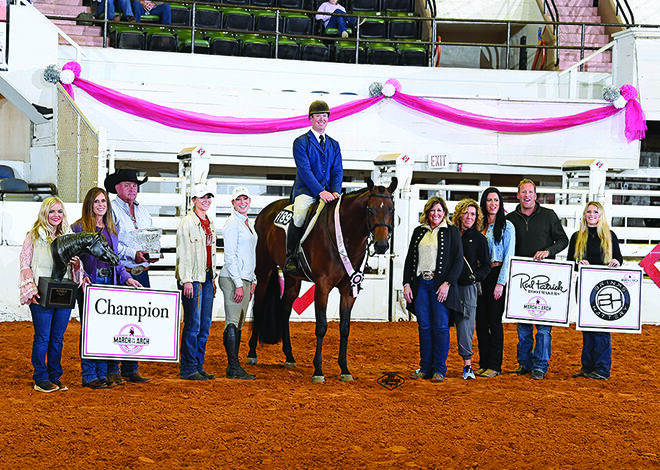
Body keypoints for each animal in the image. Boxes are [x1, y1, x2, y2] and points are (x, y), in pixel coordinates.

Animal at [245, 176, 394, 382]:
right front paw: (318, 371)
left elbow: (345, 328)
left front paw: (344, 369)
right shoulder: (323, 286)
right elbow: (321, 326)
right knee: (258, 307)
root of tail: (265, 211)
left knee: (284, 309)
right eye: (370, 209)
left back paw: (289, 357)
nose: (381, 245)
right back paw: (252, 354)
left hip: (292, 278)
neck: (346, 236)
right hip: (264, 270)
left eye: (391, 210)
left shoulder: (349, 290)